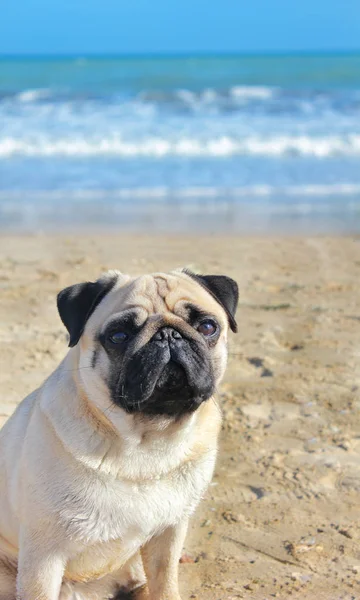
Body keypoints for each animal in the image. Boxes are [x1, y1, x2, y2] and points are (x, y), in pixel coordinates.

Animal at [0, 268, 238, 600]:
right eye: (119, 336)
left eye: (207, 327)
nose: (168, 335)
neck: (148, 441)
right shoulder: (42, 555)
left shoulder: (169, 532)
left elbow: (165, 583)